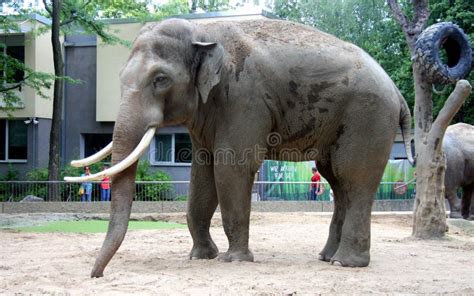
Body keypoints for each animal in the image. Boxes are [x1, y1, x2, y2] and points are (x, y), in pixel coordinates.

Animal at [65, 19, 412, 278]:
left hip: (368, 116)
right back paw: (326, 257)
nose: (96, 275)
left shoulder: (244, 98)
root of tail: (397, 90)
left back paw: (345, 263)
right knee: (336, 181)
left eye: (160, 79)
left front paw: (234, 260)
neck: (202, 32)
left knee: (353, 178)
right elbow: (202, 173)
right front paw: (201, 257)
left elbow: (231, 167)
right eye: (120, 77)